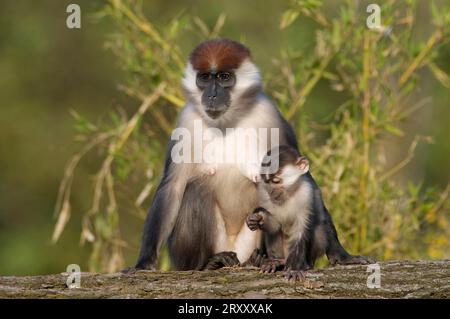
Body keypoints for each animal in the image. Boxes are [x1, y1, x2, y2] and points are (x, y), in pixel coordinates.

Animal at [130, 38, 348, 272]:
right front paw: (143, 262)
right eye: (205, 77)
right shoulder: (186, 119)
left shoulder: (269, 113)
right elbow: (173, 186)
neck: (226, 121)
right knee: (195, 189)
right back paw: (209, 263)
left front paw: (341, 255)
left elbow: (306, 182)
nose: (212, 95)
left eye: (224, 77)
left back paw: (258, 259)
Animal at [248, 146, 370, 282]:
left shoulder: (306, 191)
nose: (272, 191)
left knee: (320, 225)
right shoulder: (263, 193)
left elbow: (302, 229)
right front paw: (258, 218)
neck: (288, 194)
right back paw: (277, 261)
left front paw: (294, 270)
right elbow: (275, 225)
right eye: (267, 182)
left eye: (276, 181)